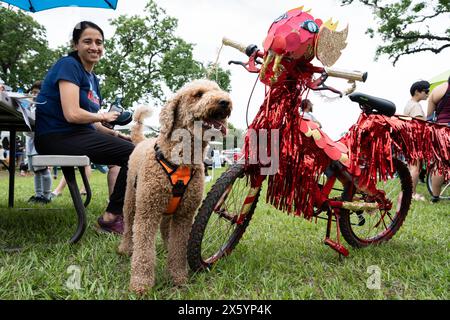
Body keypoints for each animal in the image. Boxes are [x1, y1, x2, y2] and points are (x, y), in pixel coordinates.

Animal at [118, 79, 232, 294]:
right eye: (198, 94)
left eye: (218, 90)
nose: (225, 102)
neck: (181, 161)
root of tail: (142, 140)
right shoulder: (147, 212)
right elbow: (143, 251)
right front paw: (141, 284)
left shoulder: (184, 215)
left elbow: (178, 247)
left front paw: (178, 278)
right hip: (131, 199)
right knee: (129, 227)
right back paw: (125, 248)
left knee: (165, 230)